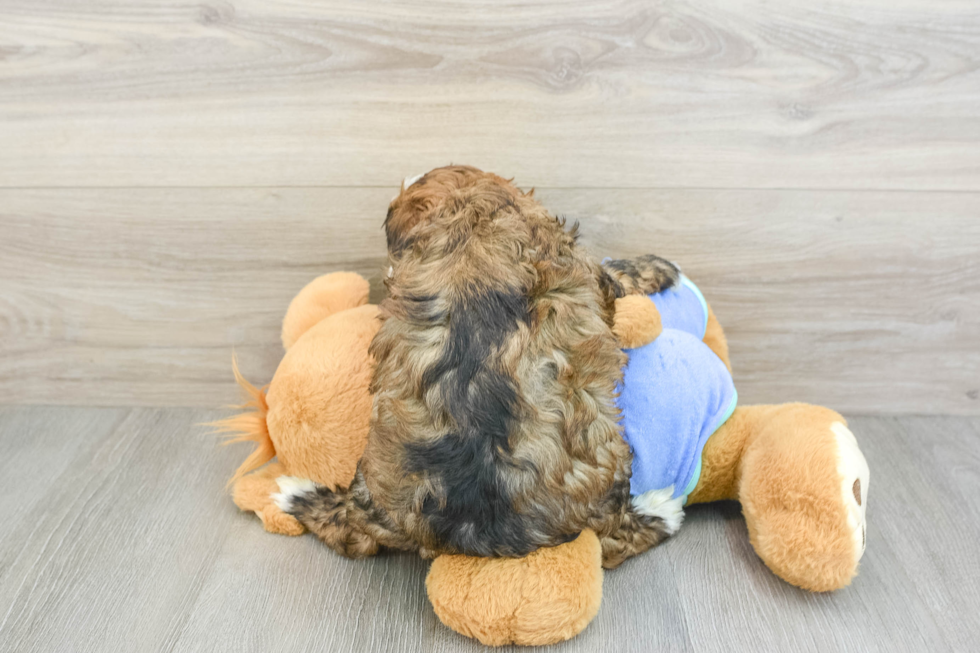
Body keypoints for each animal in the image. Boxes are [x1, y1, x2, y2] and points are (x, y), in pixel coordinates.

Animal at [282, 166, 680, 568]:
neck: (471, 211)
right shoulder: (586, 271)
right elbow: (616, 276)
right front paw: (660, 268)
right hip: (605, 463)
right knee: (616, 539)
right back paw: (660, 509)